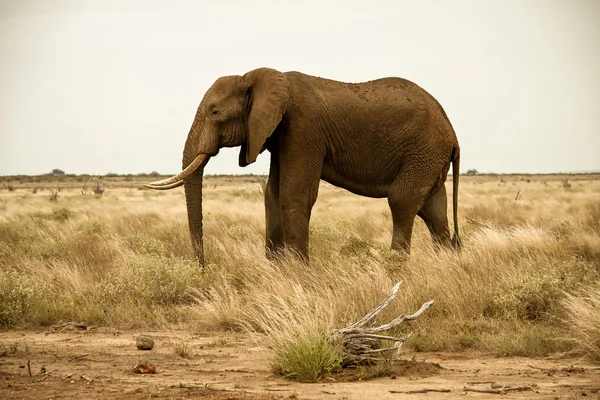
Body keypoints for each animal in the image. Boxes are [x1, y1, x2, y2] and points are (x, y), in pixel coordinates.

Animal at [148, 67, 462, 264]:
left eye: (215, 112)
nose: (202, 267)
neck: (257, 77)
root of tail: (451, 128)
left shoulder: (302, 127)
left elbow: (293, 193)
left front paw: (298, 271)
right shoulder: (277, 134)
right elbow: (272, 195)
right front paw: (275, 268)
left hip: (423, 150)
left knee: (402, 201)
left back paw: (394, 268)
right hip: (429, 156)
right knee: (434, 210)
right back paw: (446, 265)